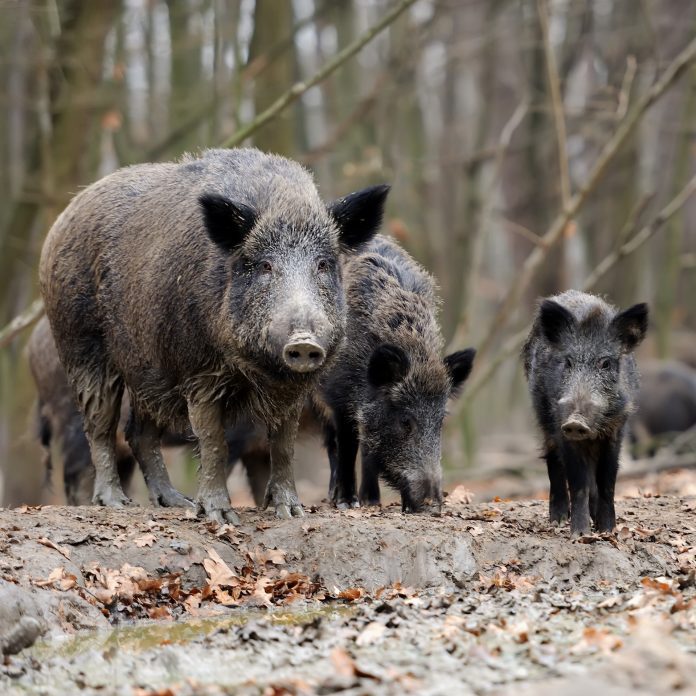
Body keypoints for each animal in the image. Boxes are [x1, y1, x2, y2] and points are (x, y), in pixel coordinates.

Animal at [39, 147, 388, 522]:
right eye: (265, 266)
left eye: (323, 265)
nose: (304, 342)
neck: (258, 369)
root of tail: (64, 217)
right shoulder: (198, 373)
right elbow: (212, 441)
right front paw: (220, 515)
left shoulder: (292, 389)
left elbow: (283, 444)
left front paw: (291, 512)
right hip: (81, 345)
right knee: (99, 425)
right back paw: (115, 502)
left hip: (148, 368)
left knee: (139, 433)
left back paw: (175, 502)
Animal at [316, 235, 476, 512]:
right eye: (405, 421)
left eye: (441, 421)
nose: (432, 503)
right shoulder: (338, 398)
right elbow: (347, 447)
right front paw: (348, 503)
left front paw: (378, 502)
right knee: (332, 443)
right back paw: (337, 498)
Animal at [523, 290, 648, 536]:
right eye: (569, 362)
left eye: (606, 363)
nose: (576, 421)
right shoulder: (562, 427)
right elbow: (578, 482)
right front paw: (580, 534)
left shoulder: (617, 429)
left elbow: (607, 480)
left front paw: (607, 530)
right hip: (544, 416)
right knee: (553, 460)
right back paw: (558, 520)